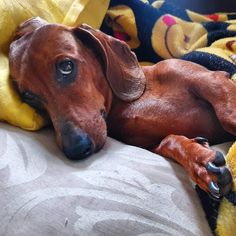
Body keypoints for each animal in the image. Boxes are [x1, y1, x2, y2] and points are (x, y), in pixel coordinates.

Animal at [8, 17, 234, 197]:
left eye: (66, 66)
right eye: (29, 96)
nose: (77, 149)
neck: (130, 102)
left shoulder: (212, 81)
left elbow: (226, 114)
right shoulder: (149, 145)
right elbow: (169, 141)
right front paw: (201, 162)